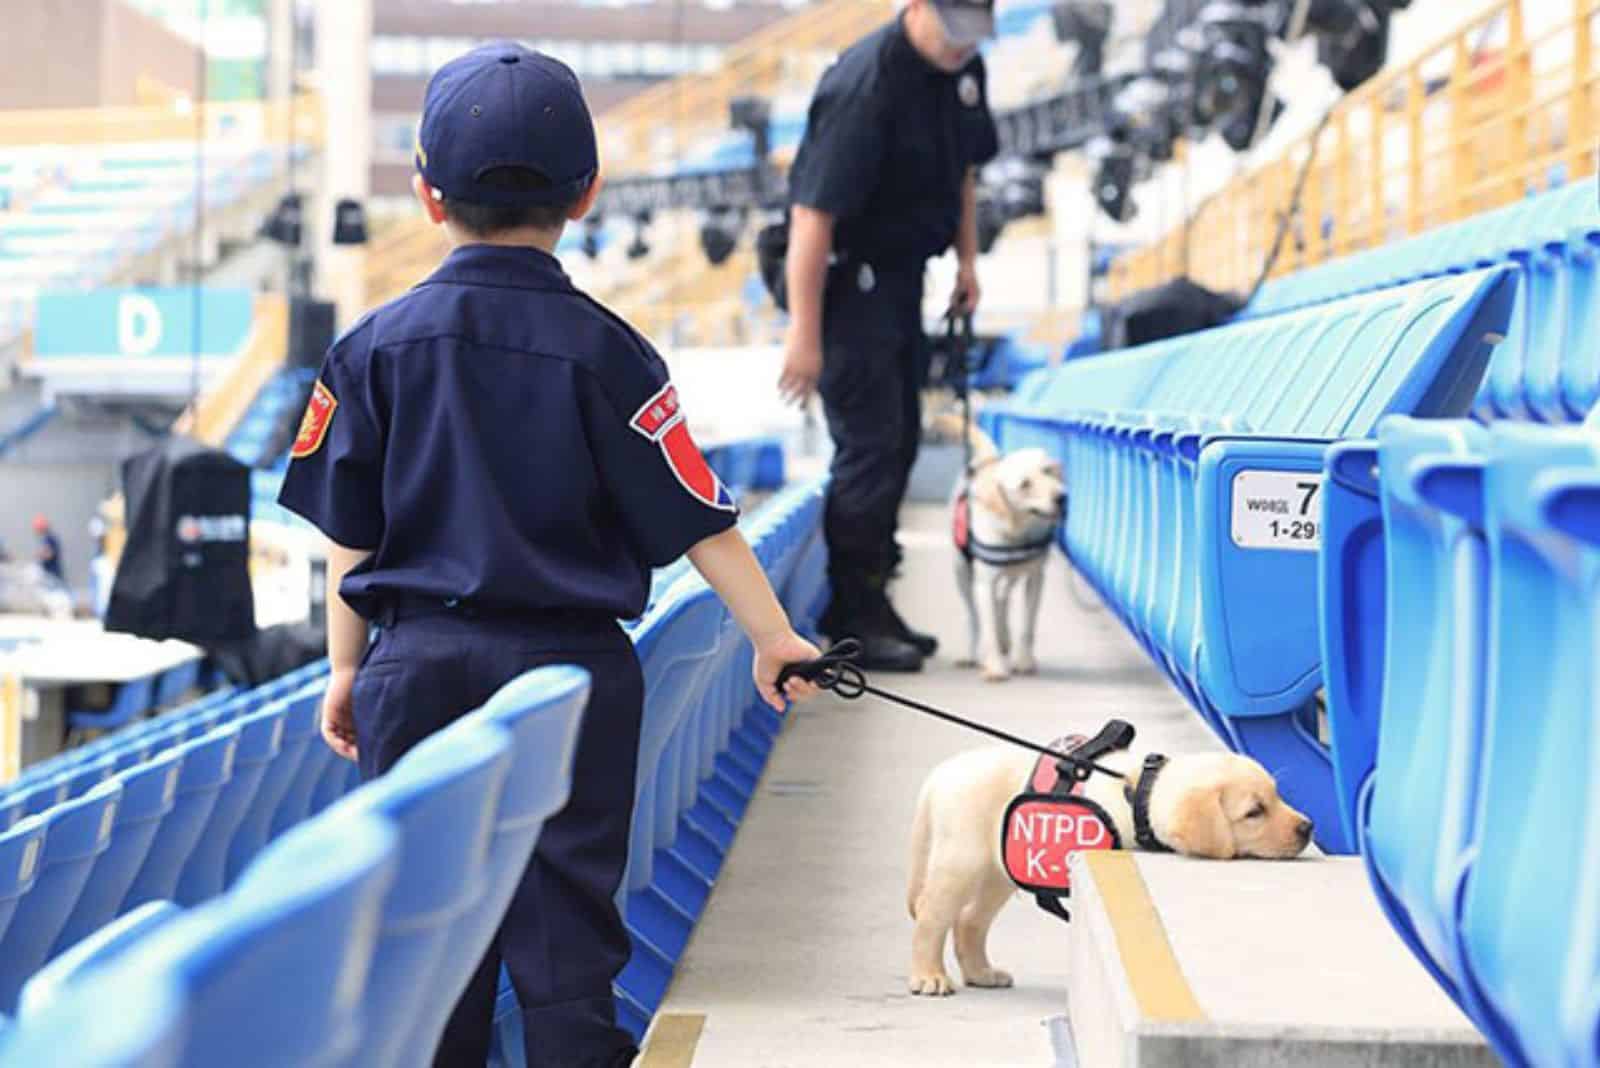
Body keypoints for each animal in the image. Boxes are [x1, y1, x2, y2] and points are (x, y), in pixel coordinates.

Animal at [902, 741, 1312, 991]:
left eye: (1278, 797)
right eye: (1254, 812)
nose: (1308, 828)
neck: (1140, 798)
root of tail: (940, 774)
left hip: (999, 868)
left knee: (969, 921)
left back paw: (981, 973)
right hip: (962, 862)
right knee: (931, 916)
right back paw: (928, 975)